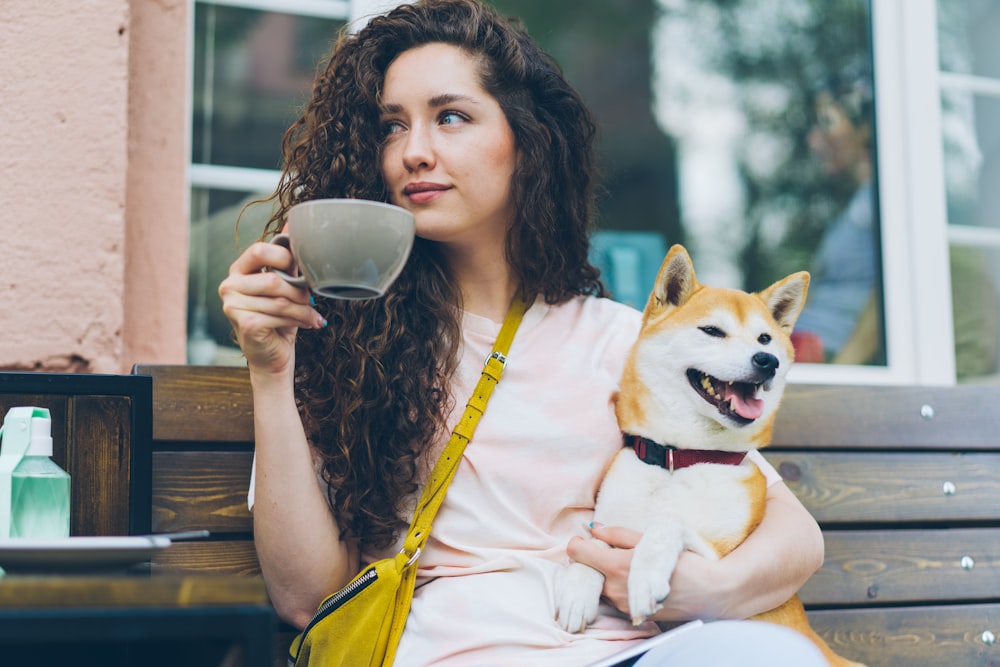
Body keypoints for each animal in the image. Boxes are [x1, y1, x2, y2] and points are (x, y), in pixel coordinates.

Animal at [560, 245, 864, 667]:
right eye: (712, 331)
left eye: (765, 338)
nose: (766, 360)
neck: (680, 460)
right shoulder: (609, 523)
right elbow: (594, 546)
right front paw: (578, 587)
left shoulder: (718, 564)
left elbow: (669, 522)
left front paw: (645, 574)